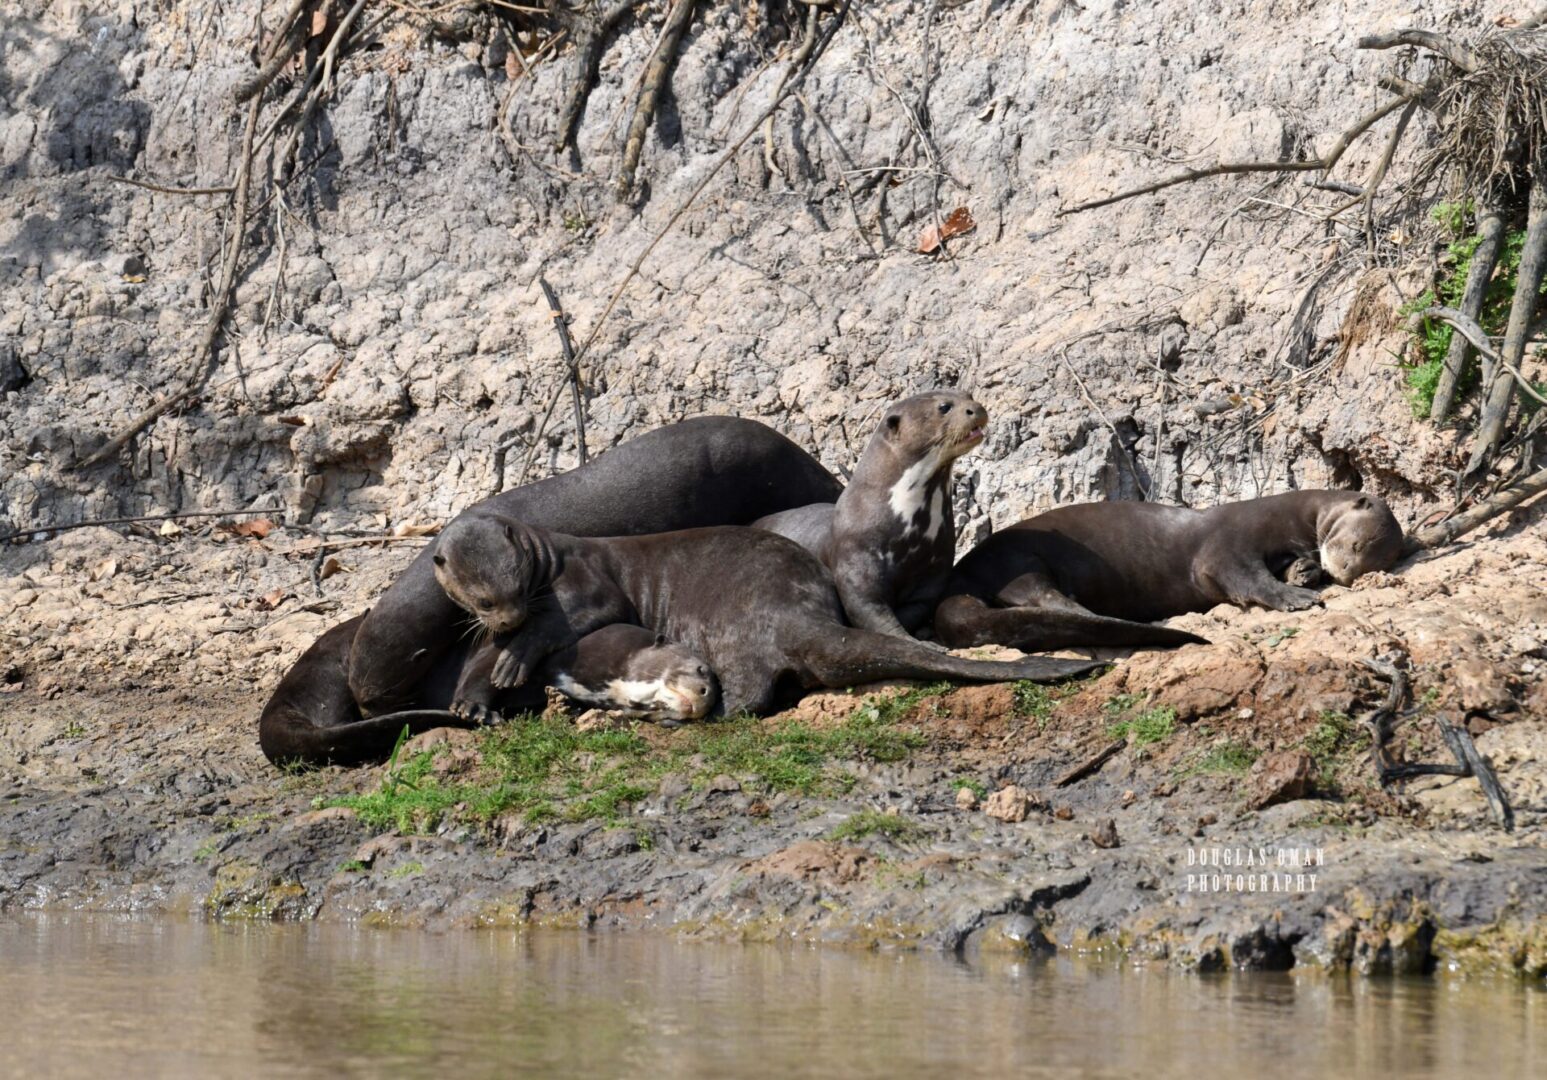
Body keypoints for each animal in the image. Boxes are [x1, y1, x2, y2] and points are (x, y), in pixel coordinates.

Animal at [426, 510, 1101, 717]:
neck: (550, 558)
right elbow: (479, 659)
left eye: (515, 583)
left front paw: (515, 659)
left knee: (743, 700)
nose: (507, 617)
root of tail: (797, 617)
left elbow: (569, 619)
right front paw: (475, 698)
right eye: (482, 599)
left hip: (724, 632)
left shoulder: (585, 584)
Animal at [928, 488, 1404, 646]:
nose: (1344, 572)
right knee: (1039, 593)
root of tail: (958, 576)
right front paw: (1295, 597)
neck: (1294, 516)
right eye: (1356, 544)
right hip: (1015, 559)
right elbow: (1244, 576)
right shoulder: (1229, 541)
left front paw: (1304, 572)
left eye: (1372, 562)